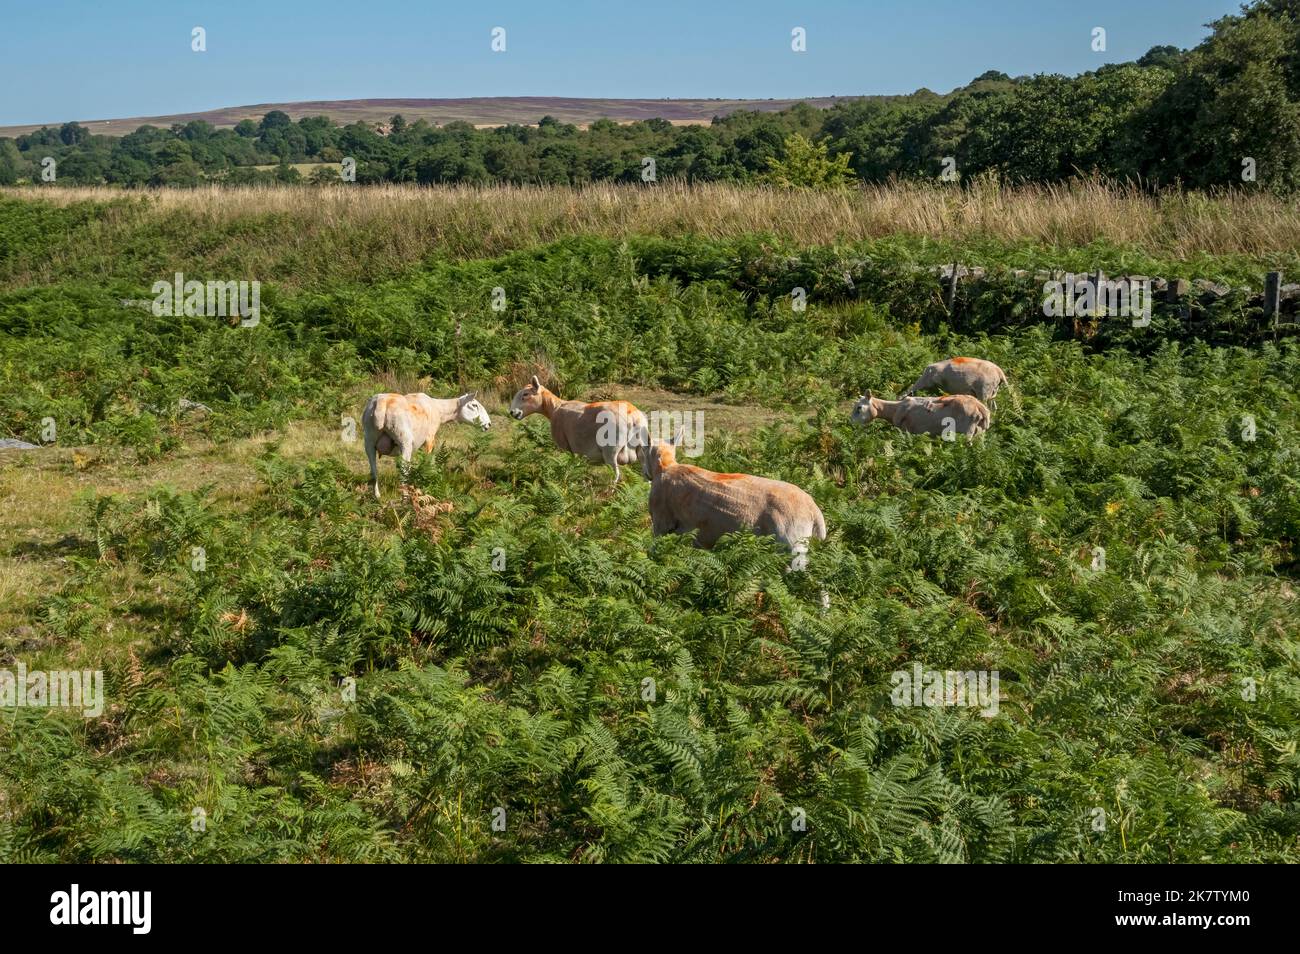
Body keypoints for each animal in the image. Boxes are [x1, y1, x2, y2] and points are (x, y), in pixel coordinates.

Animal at [506, 374, 650, 486]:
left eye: (525, 394)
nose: (512, 412)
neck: (554, 408)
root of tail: (632, 415)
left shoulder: (565, 447)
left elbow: (567, 466)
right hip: (642, 450)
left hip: (611, 451)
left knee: (616, 476)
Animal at [644, 428, 826, 564]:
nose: (645, 474)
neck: (666, 467)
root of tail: (814, 510)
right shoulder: (701, 537)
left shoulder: (660, 524)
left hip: (791, 544)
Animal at [847, 392, 987, 441]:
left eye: (859, 407)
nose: (851, 424)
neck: (894, 409)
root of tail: (980, 407)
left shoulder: (907, 431)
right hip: (979, 433)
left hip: (966, 432)